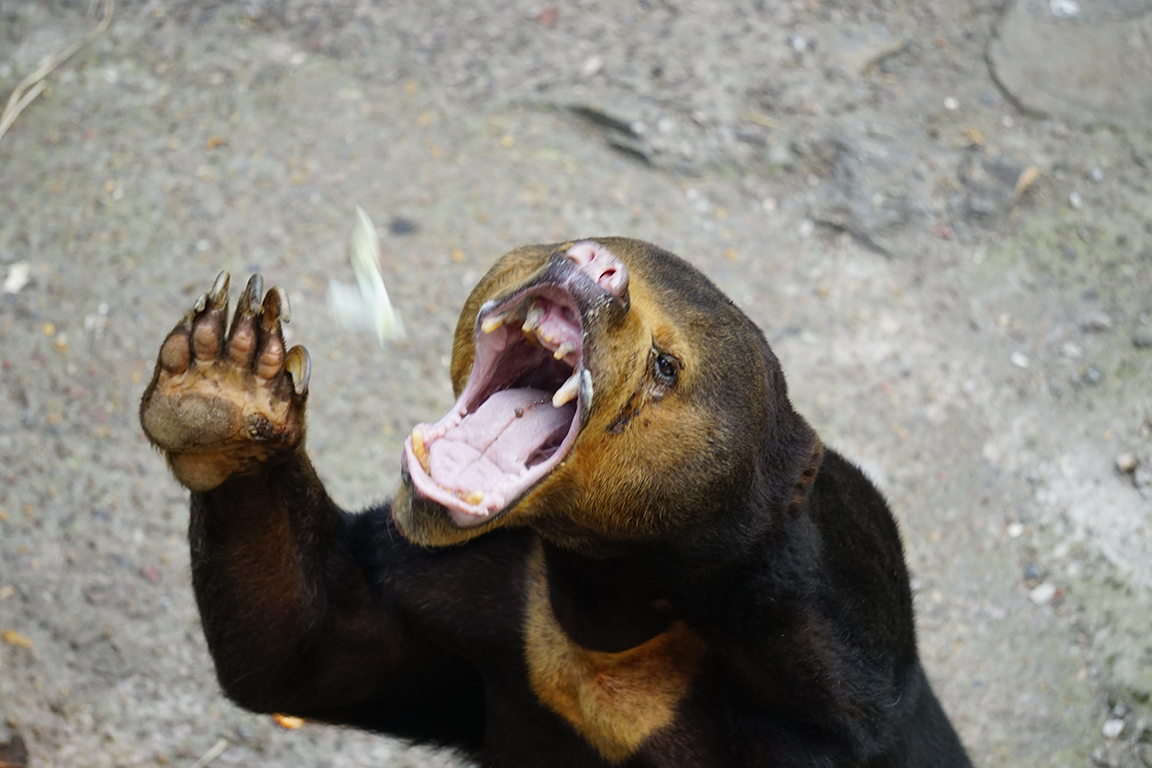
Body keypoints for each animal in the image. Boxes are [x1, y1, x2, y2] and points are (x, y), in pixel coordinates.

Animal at [139, 238, 973, 767]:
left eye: (667, 365)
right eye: (579, 240)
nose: (595, 267)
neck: (614, 600)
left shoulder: (821, 702)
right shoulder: (483, 604)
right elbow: (304, 645)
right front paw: (225, 377)